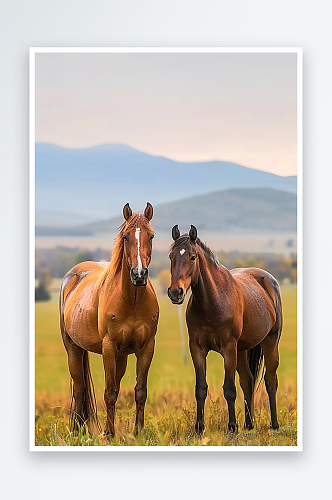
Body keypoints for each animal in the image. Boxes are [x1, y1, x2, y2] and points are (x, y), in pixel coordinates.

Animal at [59, 203, 159, 438]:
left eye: (151, 236)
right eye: (125, 236)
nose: (139, 275)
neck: (132, 301)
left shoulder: (146, 347)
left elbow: (140, 391)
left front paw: (138, 432)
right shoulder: (109, 348)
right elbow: (110, 392)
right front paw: (109, 433)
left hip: (120, 356)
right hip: (73, 348)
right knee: (79, 388)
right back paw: (77, 432)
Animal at [167, 226, 282, 434]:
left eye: (193, 257)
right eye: (171, 256)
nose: (175, 292)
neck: (213, 302)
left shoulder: (229, 348)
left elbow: (229, 389)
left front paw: (232, 426)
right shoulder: (197, 348)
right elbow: (201, 388)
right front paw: (199, 427)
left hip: (270, 342)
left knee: (270, 381)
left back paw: (274, 425)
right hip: (242, 350)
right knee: (248, 381)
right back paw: (249, 425)